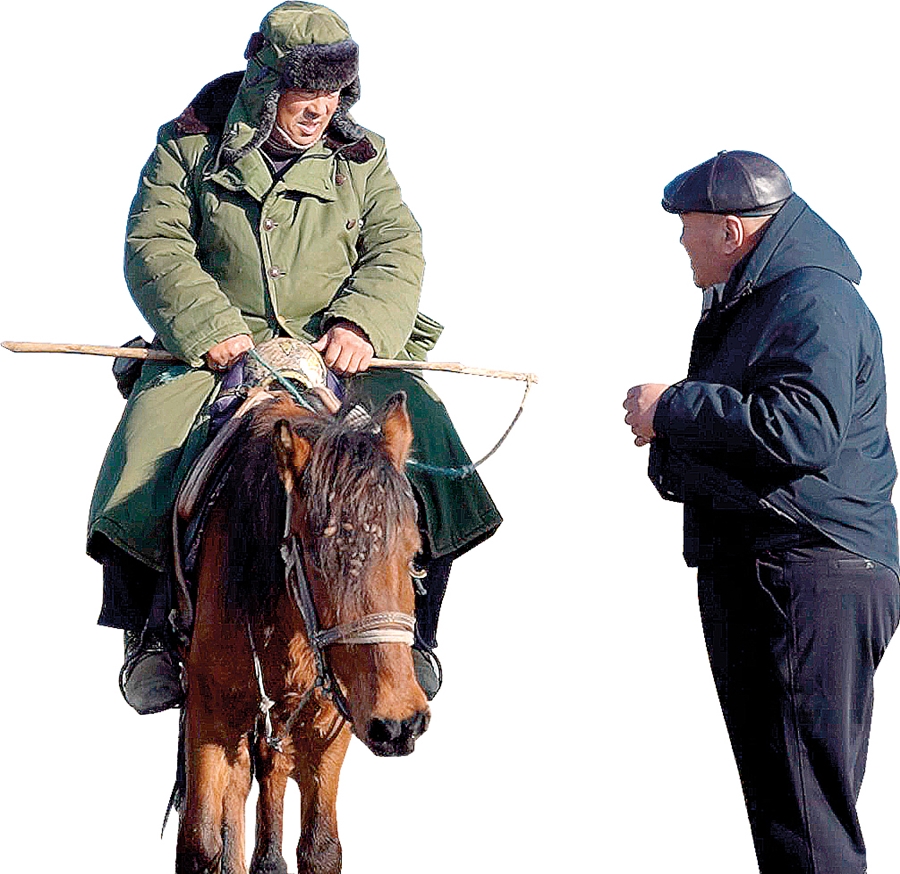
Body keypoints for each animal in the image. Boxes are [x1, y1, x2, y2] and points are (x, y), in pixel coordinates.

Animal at [178, 392, 430, 872]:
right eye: (314, 556)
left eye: (414, 553)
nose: (399, 723)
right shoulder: (210, 715)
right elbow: (201, 842)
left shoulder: (335, 716)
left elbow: (320, 847)